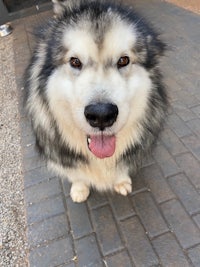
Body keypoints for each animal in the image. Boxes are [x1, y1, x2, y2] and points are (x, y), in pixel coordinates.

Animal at [25, 0, 169, 203]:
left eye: (123, 60)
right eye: (75, 61)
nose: (101, 115)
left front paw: (121, 180)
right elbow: (76, 174)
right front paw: (79, 188)